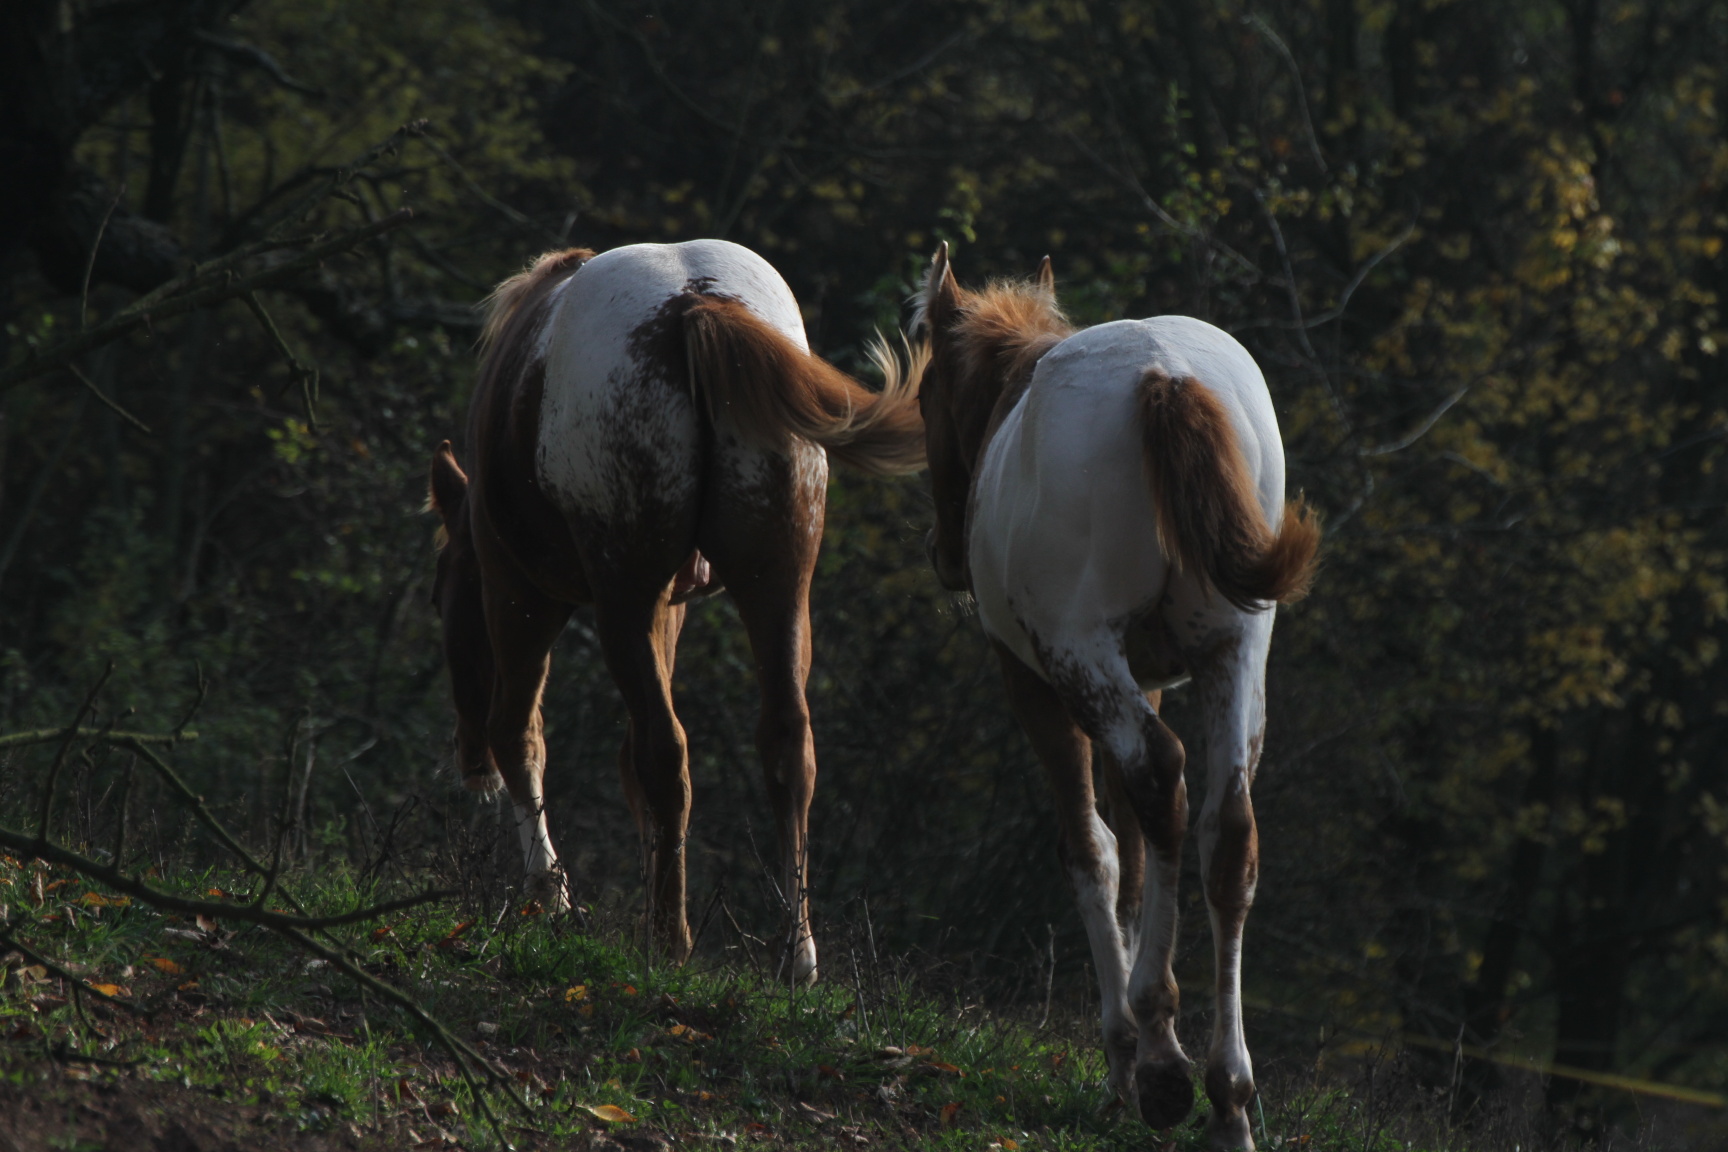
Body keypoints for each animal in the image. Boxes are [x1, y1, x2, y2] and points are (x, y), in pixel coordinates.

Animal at [425, 241, 926, 981]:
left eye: (440, 594)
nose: (467, 765)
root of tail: (694, 305)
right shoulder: (670, 605)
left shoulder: (520, 592)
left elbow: (521, 734)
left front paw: (550, 902)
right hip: (776, 581)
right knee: (786, 744)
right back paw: (794, 955)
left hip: (621, 598)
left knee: (663, 750)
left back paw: (668, 940)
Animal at [912, 241, 1313, 1146]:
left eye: (924, 395)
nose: (945, 553)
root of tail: (1164, 378)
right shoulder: (1152, 677)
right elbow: (1138, 852)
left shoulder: (1033, 677)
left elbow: (1092, 848)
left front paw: (1124, 1054)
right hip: (1235, 651)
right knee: (1223, 828)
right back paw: (1228, 1092)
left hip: (1078, 654)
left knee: (1160, 781)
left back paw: (1160, 1056)